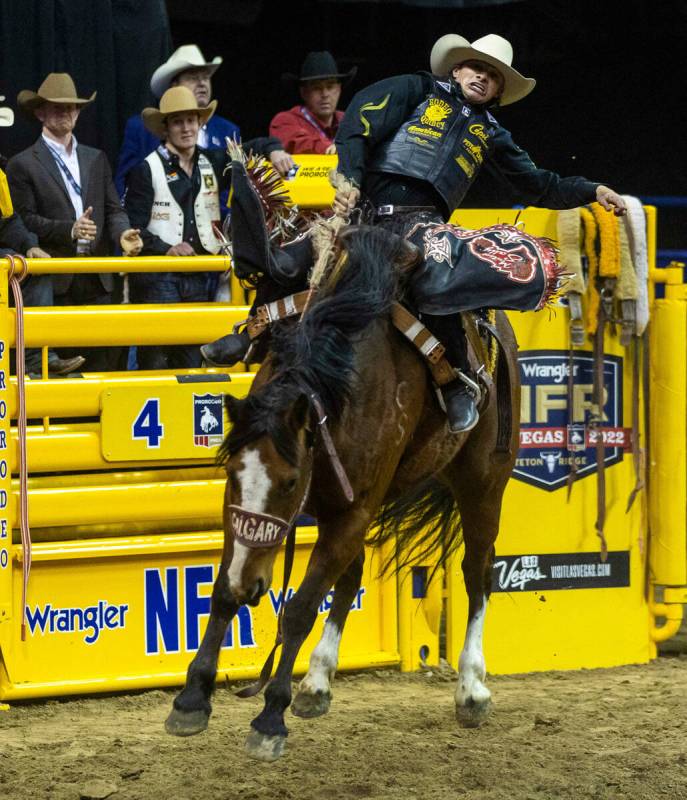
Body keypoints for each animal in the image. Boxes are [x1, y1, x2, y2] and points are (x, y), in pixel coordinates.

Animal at [167, 225, 520, 764]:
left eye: (290, 482)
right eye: (231, 472)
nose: (254, 587)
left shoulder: (353, 510)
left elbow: (298, 609)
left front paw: (269, 718)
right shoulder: (268, 511)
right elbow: (225, 588)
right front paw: (192, 698)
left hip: (483, 482)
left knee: (477, 572)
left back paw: (472, 688)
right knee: (351, 578)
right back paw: (316, 682)